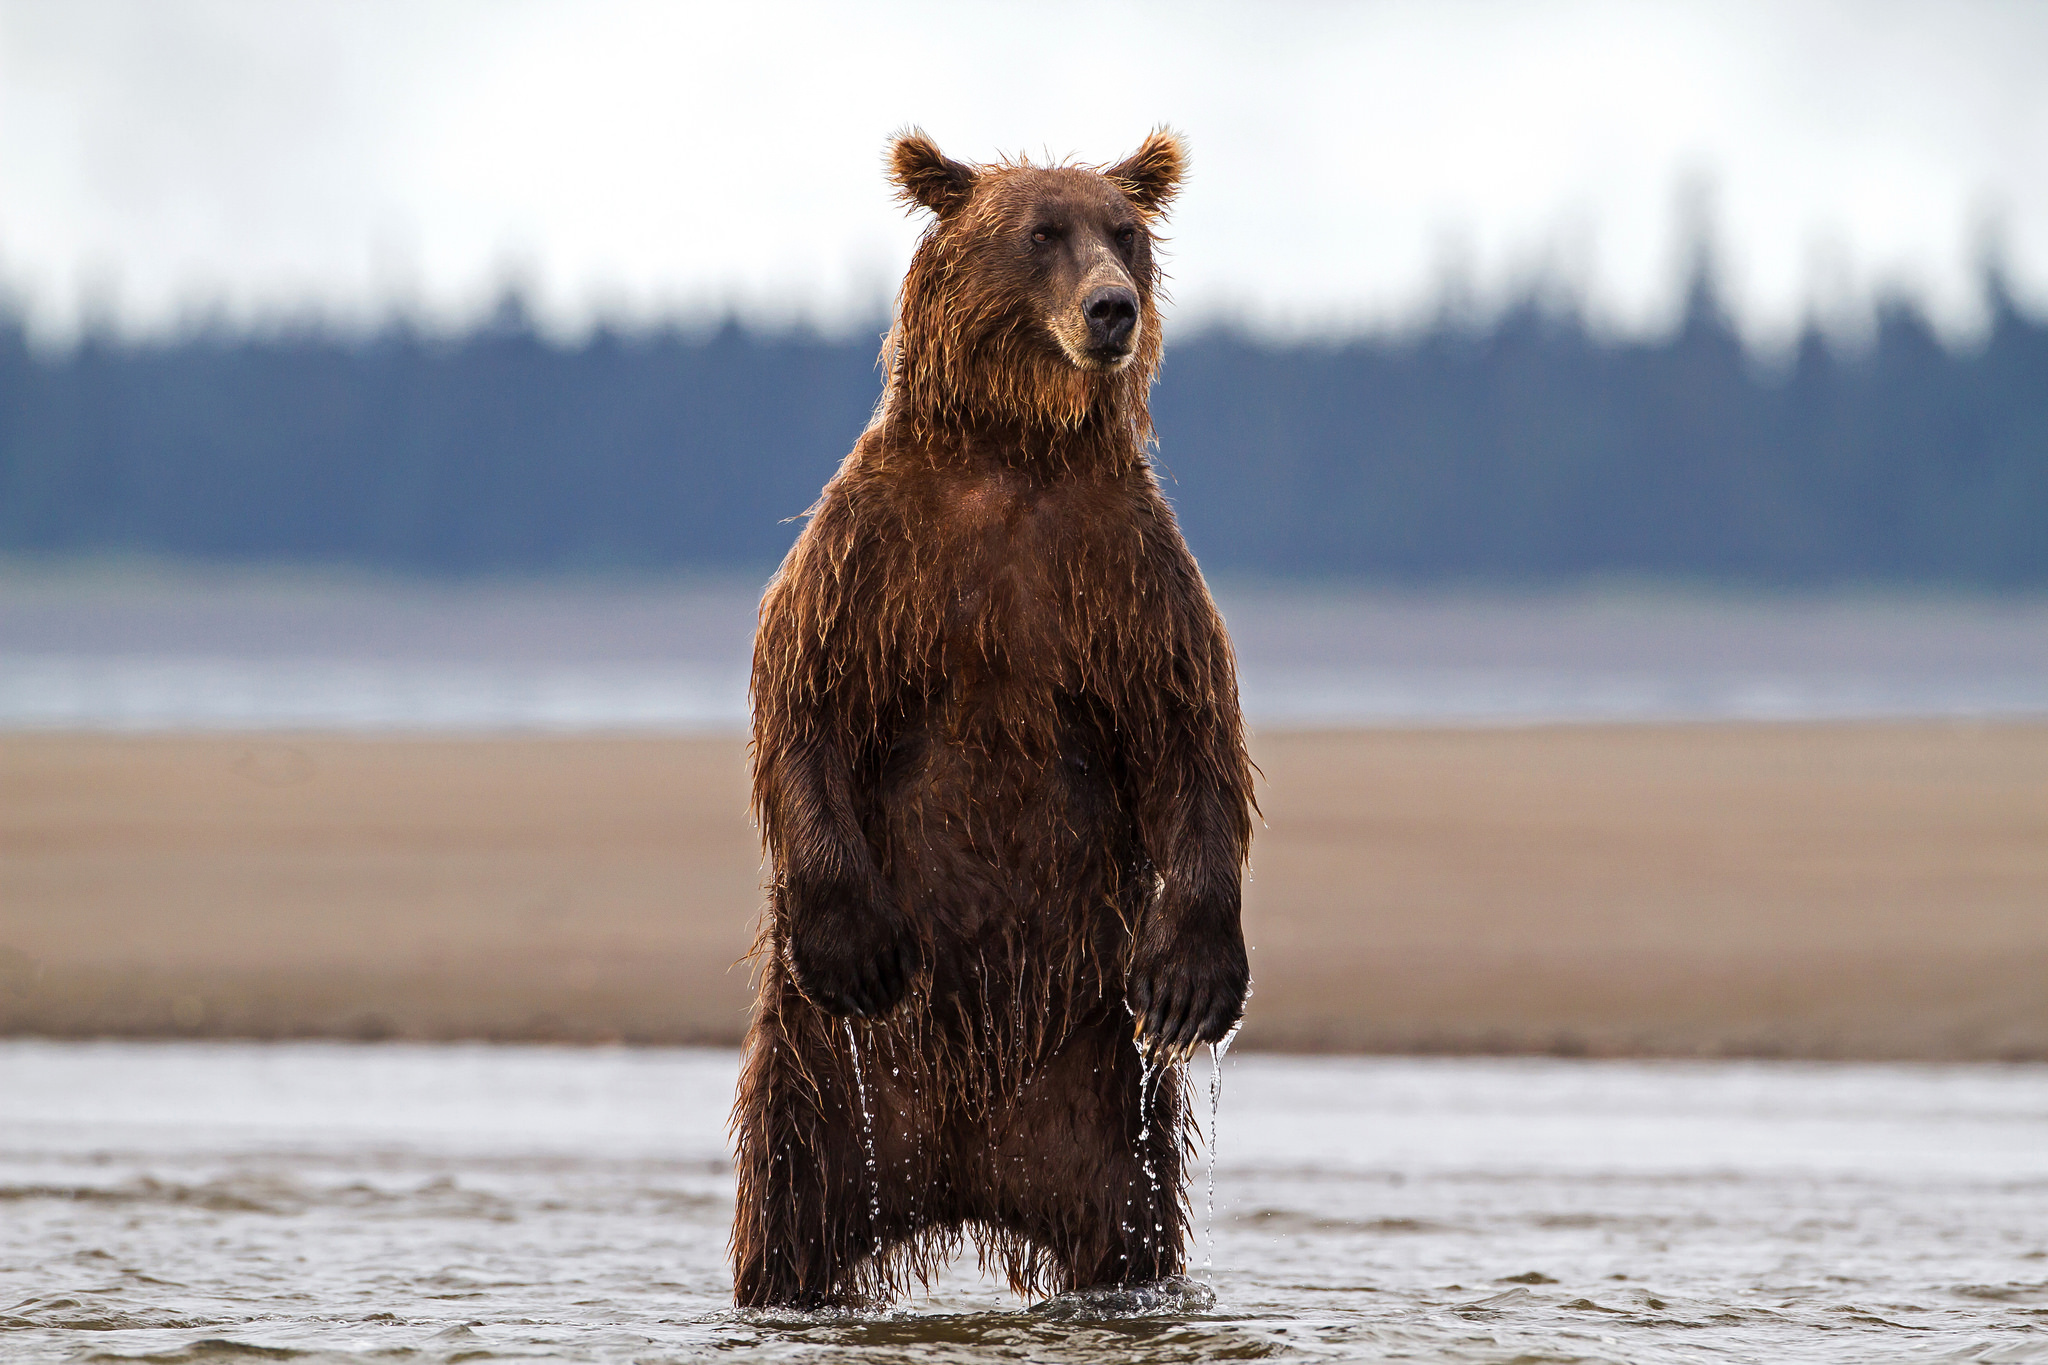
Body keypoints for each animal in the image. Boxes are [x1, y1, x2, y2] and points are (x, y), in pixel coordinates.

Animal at [729, 127, 1253, 1309]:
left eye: (1126, 232)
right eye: (1042, 231)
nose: (1111, 308)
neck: (1015, 448)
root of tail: (966, 1172)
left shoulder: (1123, 567)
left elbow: (1191, 733)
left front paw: (1193, 981)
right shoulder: (875, 552)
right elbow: (806, 702)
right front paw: (856, 943)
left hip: (1100, 1102)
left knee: (1130, 1235)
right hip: (826, 1092)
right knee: (787, 1225)